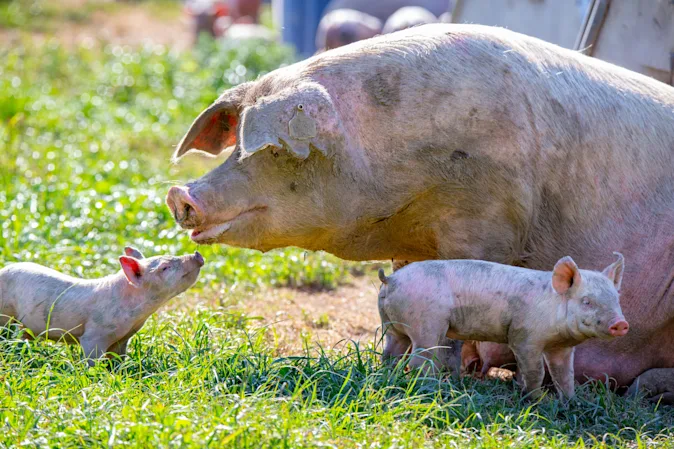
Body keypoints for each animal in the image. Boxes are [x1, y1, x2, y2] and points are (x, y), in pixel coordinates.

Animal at [0, 247, 204, 365]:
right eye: (165, 267)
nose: (197, 254)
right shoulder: (94, 335)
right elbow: (91, 359)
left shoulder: (122, 339)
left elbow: (119, 359)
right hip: (5, 316)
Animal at [377, 253, 628, 399]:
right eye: (587, 301)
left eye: (616, 298)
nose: (621, 324)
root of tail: (391, 279)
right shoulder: (524, 336)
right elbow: (535, 371)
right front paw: (537, 401)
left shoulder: (562, 347)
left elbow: (565, 375)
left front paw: (570, 402)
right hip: (426, 325)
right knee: (419, 360)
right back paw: (430, 388)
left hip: (392, 325)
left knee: (391, 353)